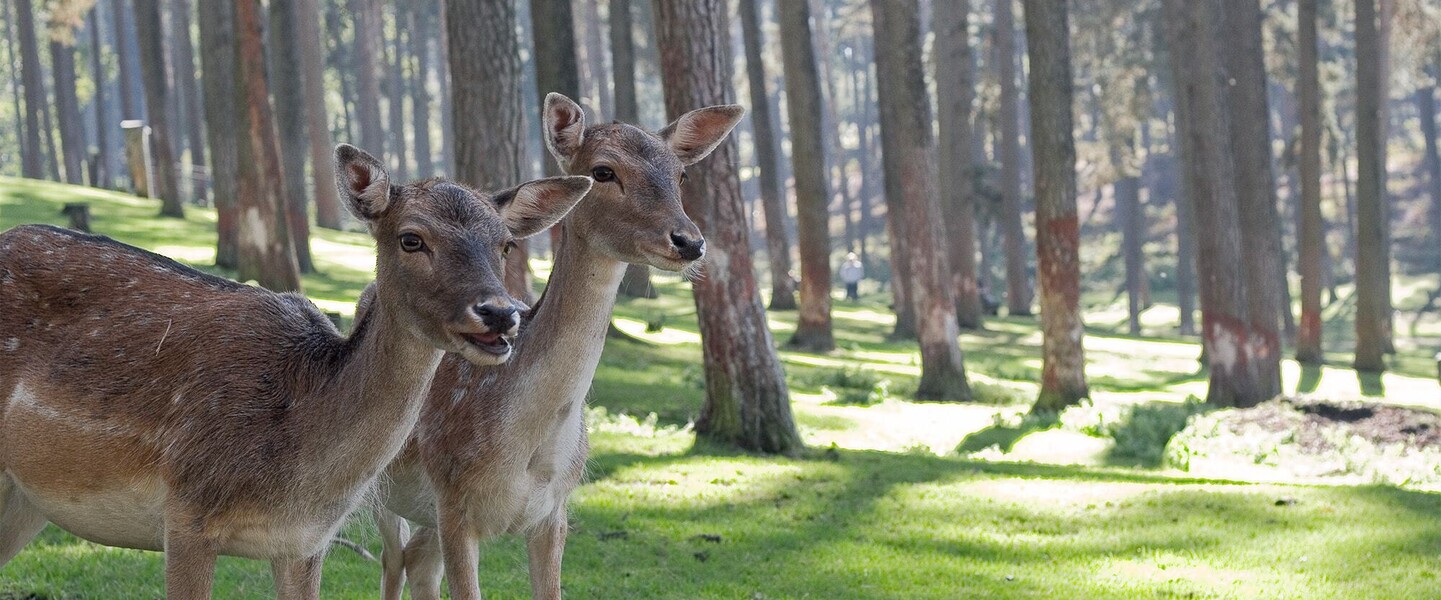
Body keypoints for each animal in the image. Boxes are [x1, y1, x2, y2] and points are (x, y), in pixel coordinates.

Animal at [0, 142, 590, 597]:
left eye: (505, 244)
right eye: (411, 238)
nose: (500, 313)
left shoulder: (305, 544)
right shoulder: (185, 514)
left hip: (25, 497)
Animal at [358, 93, 743, 600]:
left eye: (680, 175)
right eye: (603, 171)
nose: (690, 242)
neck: (526, 449)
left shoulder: (554, 510)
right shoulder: (454, 501)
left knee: (418, 560)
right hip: (378, 485)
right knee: (393, 559)